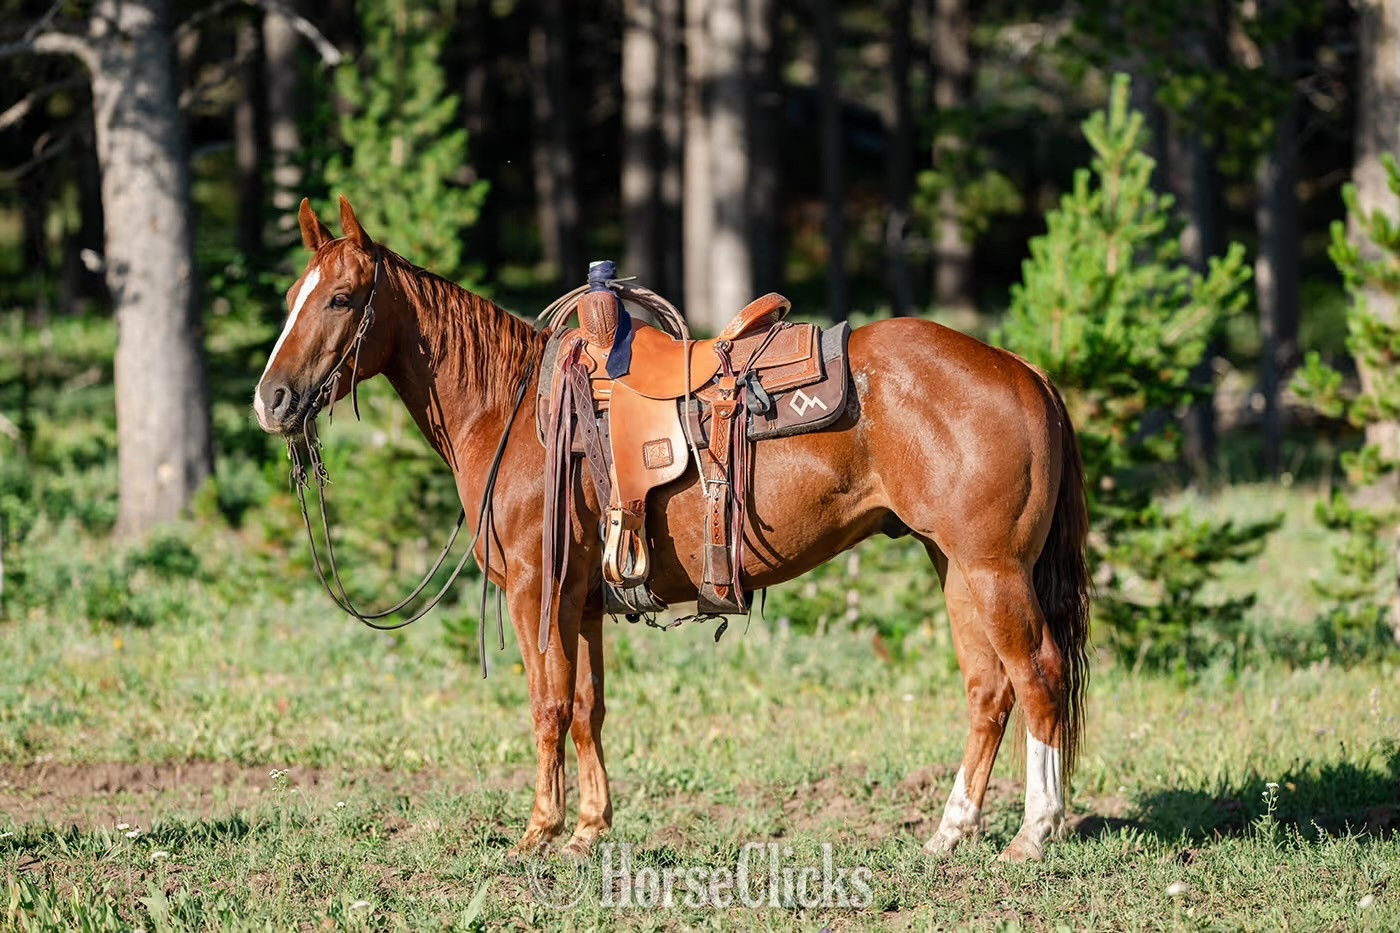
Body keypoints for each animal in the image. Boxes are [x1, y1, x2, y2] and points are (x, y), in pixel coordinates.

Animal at [253, 196, 1091, 863]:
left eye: (342, 298)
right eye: (294, 294)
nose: (272, 399)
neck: (511, 411)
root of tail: (1022, 369)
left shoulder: (535, 590)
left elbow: (547, 704)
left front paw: (539, 832)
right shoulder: (582, 599)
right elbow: (587, 707)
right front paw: (589, 829)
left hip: (993, 568)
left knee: (1038, 674)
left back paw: (1033, 831)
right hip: (953, 565)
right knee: (988, 689)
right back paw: (951, 831)